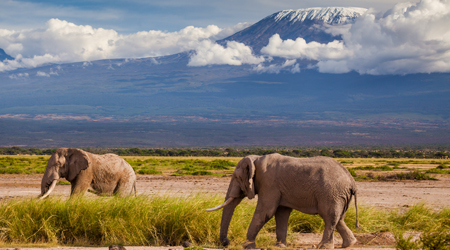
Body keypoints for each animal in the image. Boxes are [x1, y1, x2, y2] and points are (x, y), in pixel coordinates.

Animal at [207, 153, 358, 249]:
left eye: (237, 177)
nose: (226, 242)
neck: (256, 159)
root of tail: (352, 181)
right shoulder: (278, 188)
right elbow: (281, 213)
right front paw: (280, 246)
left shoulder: (269, 183)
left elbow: (265, 212)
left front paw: (246, 246)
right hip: (339, 195)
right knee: (338, 218)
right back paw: (349, 244)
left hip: (331, 193)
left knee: (329, 217)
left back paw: (324, 247)